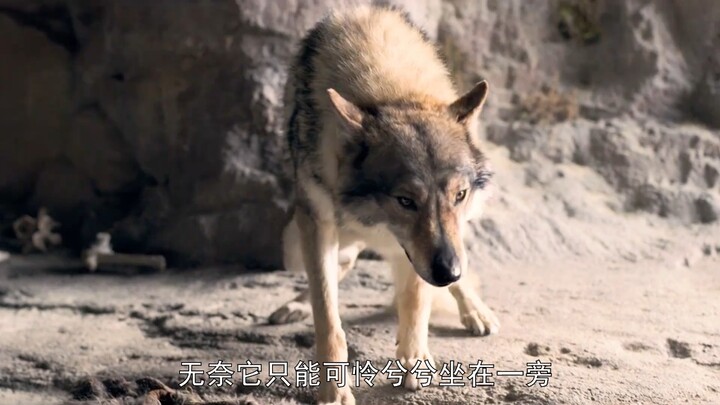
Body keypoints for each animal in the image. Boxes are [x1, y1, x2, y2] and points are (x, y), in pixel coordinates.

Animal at [269, 6, 500, 404]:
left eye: (459, 195)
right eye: (405, 200)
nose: (447, 272)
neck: (392, 91)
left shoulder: (426, 251)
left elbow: (417, 300)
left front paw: (415, 359)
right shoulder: (318, 224)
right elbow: (328, 319)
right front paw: (334, 391)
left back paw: (475, 311)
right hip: (295, 242)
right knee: (335, 269)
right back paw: (295, 304)